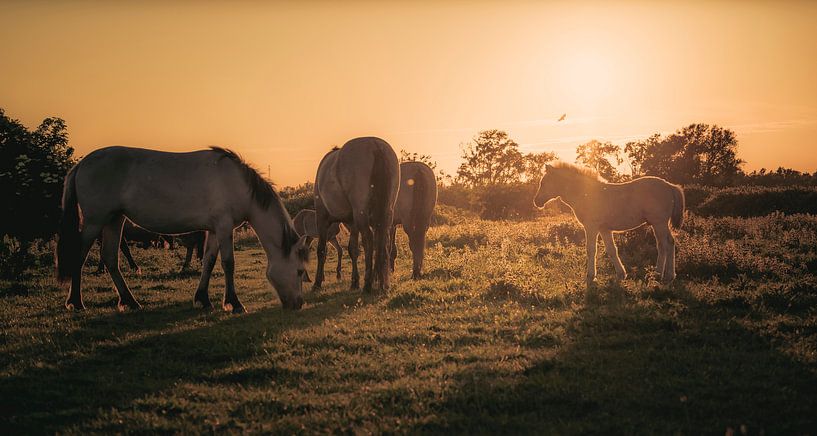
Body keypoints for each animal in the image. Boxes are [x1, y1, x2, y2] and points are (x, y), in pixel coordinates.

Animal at [56, 146, 309, 313]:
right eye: (299, 272)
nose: (298, 304)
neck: (237, 184)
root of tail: (81, 164)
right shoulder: (224, 227)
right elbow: (228, 264)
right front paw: (234, 303)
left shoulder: (214, 230)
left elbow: (208, 261)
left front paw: (203, 299)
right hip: (95, 222)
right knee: (79, 256)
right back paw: (76, 302)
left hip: (114, 220)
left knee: (110, 258)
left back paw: (130, 301)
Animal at [312, 137, 399, 292]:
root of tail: (375, 145)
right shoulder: (353, 223)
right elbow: (353, 250)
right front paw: (354, 281)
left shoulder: (322, 218)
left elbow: (321, 250)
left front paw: (317, 283)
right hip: (385, 214)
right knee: (383, 241)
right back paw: (381, 282)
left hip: (361, 215)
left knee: (369, 240)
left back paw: (368, 283)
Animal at [533, 162, 685, 286]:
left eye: (544, 182)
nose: (536, 201)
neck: (586, 194)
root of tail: (669, 186)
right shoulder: (604, 229)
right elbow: (612, 250)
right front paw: (621, 274)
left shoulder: (591, 227)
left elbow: (591, 250)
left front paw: (590, 277)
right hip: (661, 224)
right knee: (671, 242)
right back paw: (670, 276)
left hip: (659, 223)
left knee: (663, 245)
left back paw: (658, 274)